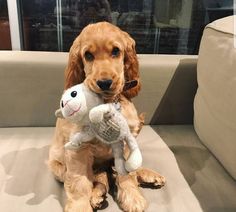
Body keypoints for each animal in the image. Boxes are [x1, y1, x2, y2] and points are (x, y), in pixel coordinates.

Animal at [48, 21, 166, 212]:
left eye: (116, 51)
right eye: (88, 55)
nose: (104, 83)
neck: (106, 104)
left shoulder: (126, 140)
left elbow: (127, 174)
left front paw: (132, 197)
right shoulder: (77, 150)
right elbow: (79, 181)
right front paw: (80, 207)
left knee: (113, 172)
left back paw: (149, 175)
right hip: (58, 167)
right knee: (98, 177)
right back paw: (97, 195)